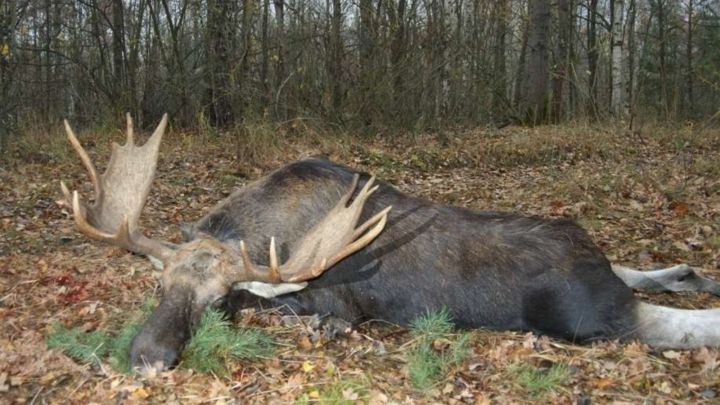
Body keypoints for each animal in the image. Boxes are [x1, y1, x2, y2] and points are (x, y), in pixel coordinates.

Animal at [60, 115, 720, 370]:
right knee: (649, 272)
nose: (146, 356)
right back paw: (693, 271)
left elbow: (311, 315)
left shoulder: (331, 300)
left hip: (590, 315)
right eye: (159, 284)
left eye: (217, 301)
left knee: (679, 322)